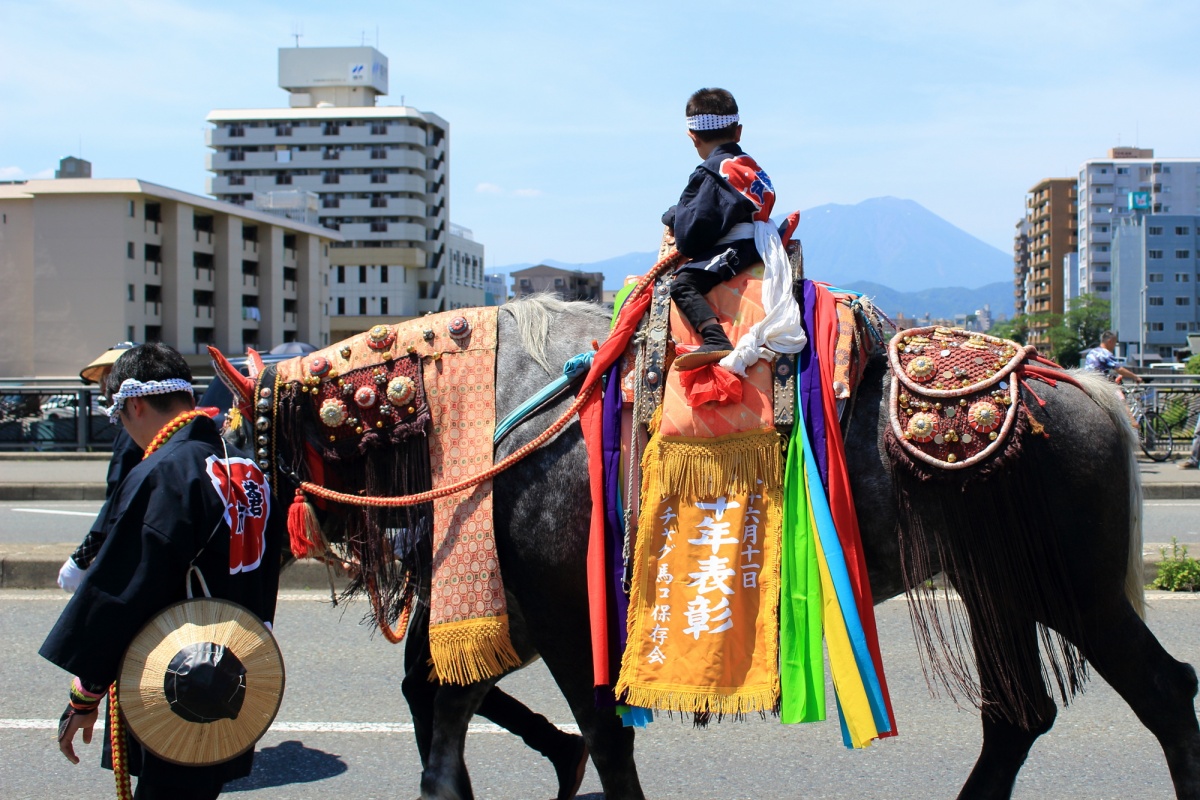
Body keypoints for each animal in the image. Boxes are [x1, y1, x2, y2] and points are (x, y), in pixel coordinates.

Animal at [211, 251, 1195, 800]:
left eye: (241, 447)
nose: (240, 548)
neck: (507, 409)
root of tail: (1094, 389)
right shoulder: (513, 609)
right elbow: (441, 713)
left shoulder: (566, 617)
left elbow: (598, 733)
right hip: (999, 587)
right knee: (1018, 718)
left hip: (1069, 591)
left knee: (1162, 691)